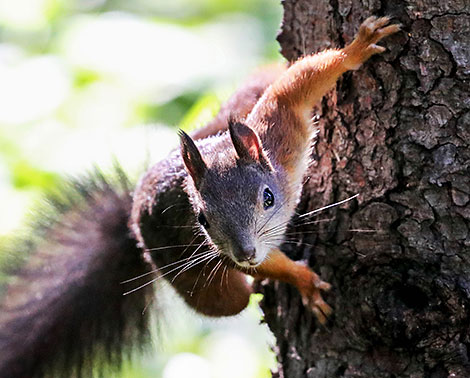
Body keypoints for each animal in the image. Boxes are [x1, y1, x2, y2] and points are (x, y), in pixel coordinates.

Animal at [0, 15, 398, 378]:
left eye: (267, 198)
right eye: (202, 220)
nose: (246, 252)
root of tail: (133, 218)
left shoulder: (279, 131)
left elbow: (295, 86)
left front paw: (356, 48)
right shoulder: (221, 249)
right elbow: (263, 266)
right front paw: (305, 283)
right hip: (192, 278)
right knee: (234, 300)